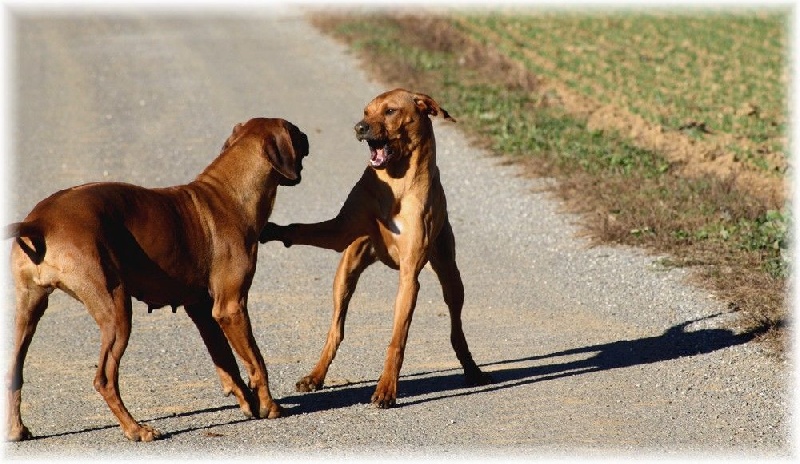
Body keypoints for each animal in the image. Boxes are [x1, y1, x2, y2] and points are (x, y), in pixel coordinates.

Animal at [4, 118, 308, 440]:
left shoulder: (203, 309)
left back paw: (16, 429)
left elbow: (226, 359)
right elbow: (256, 360)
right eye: (296, 132)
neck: (230, 194)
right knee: (104, 379)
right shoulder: (231, 306)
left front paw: (248, 402)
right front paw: (269, 406)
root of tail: (41, 221)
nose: (307, 136)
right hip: (116, 310)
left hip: (29, 311)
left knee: (13, 370)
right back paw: (136, 429)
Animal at [260, 89, 490, 408]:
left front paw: (386, 389)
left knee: (456, 326)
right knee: (336, 329)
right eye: (366, 112)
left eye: (391, 111)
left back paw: (472, 368)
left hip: (450, 275)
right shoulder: (339, 231)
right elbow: (300, 228)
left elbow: (397, 340)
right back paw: (315, 376)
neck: (396, 180)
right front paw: (270, 229)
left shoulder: (409, 276)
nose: (359, 128)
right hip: (345, 274)